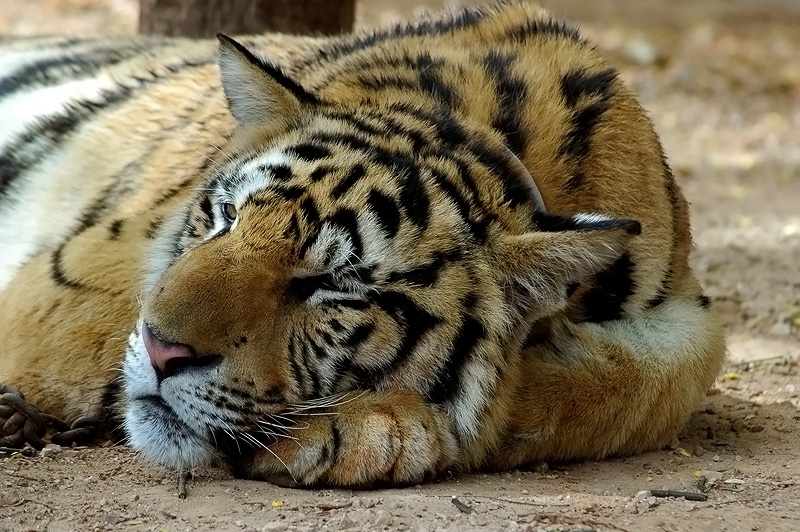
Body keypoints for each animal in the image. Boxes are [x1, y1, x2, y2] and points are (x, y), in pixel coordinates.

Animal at [0, 2, 724, 488]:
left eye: (332, 286)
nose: (160, 350)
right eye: (227, 217)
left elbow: (624, 385)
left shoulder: (690, 316)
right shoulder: (76, 280)